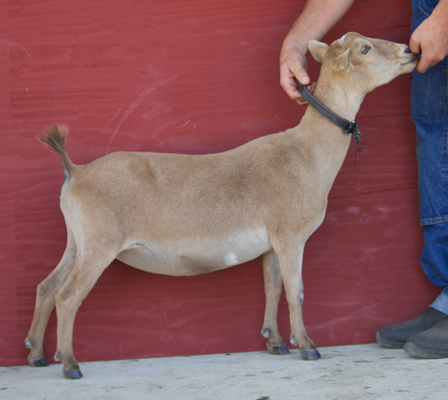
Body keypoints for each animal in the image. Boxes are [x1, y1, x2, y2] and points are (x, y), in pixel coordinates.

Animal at [24, 32, 416, 378]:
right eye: (364, 48)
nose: (410, 50)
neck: (305, 154)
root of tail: (75, 171)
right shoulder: (291, 235)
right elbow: (296, 291)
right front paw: (307, 346)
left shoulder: (271, 242)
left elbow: (272, 287)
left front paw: (275, 342)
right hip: (99, 242)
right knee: (67, 295)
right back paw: (70, 364)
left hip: (78, 240)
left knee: (47, 287)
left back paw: (37, 354)